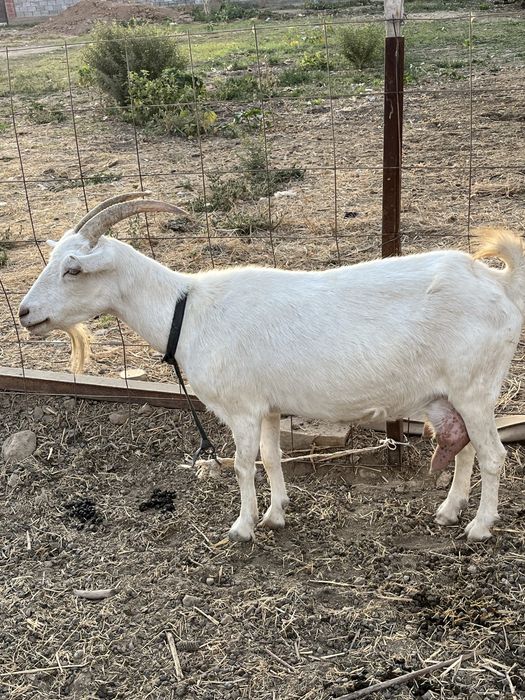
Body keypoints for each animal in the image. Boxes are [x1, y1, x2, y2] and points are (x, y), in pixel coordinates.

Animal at [19, 192, 525, 542]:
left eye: (73, 270)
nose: (25, 313)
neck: (188, 311)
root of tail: (500, 283)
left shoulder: (241, 408)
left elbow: (244, 464)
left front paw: (242, 527)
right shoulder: (269, 407)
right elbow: (271, 456)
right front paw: (275, 513)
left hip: (476, 389)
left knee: (493, 455)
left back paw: (479, 526)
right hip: (449, 395)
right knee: (462, 449)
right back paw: (448, 510)